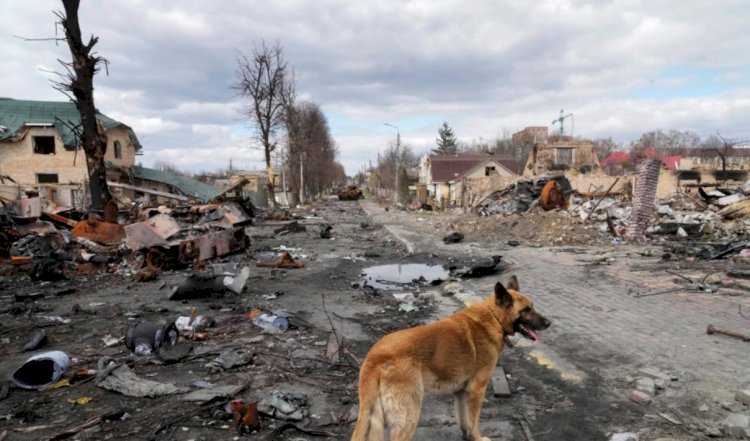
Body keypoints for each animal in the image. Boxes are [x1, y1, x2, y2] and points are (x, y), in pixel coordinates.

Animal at [352, 274, 552, 438]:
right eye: (526, 310)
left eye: (532, 307)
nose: (549, 323)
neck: (494, 318)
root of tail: (375, 357)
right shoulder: (476, 390)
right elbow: (474, 422)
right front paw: (478, 437)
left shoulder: (460, 392)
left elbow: (465, 421)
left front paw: (467, 436)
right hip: (409, 416)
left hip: (375, 420)